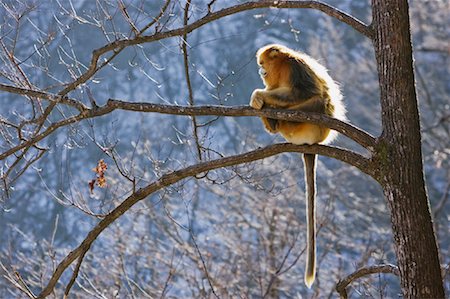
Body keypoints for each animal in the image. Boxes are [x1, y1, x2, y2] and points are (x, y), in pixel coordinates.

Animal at [250, 44, 344, 288]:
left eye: (262, 63)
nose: (260, 72)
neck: (282, 66)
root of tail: (310, 143)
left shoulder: (295, 68)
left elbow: (300, 93)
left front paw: (258, 95)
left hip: (315, 125)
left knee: (317, 99)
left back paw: (279, 118)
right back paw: (271, 122)